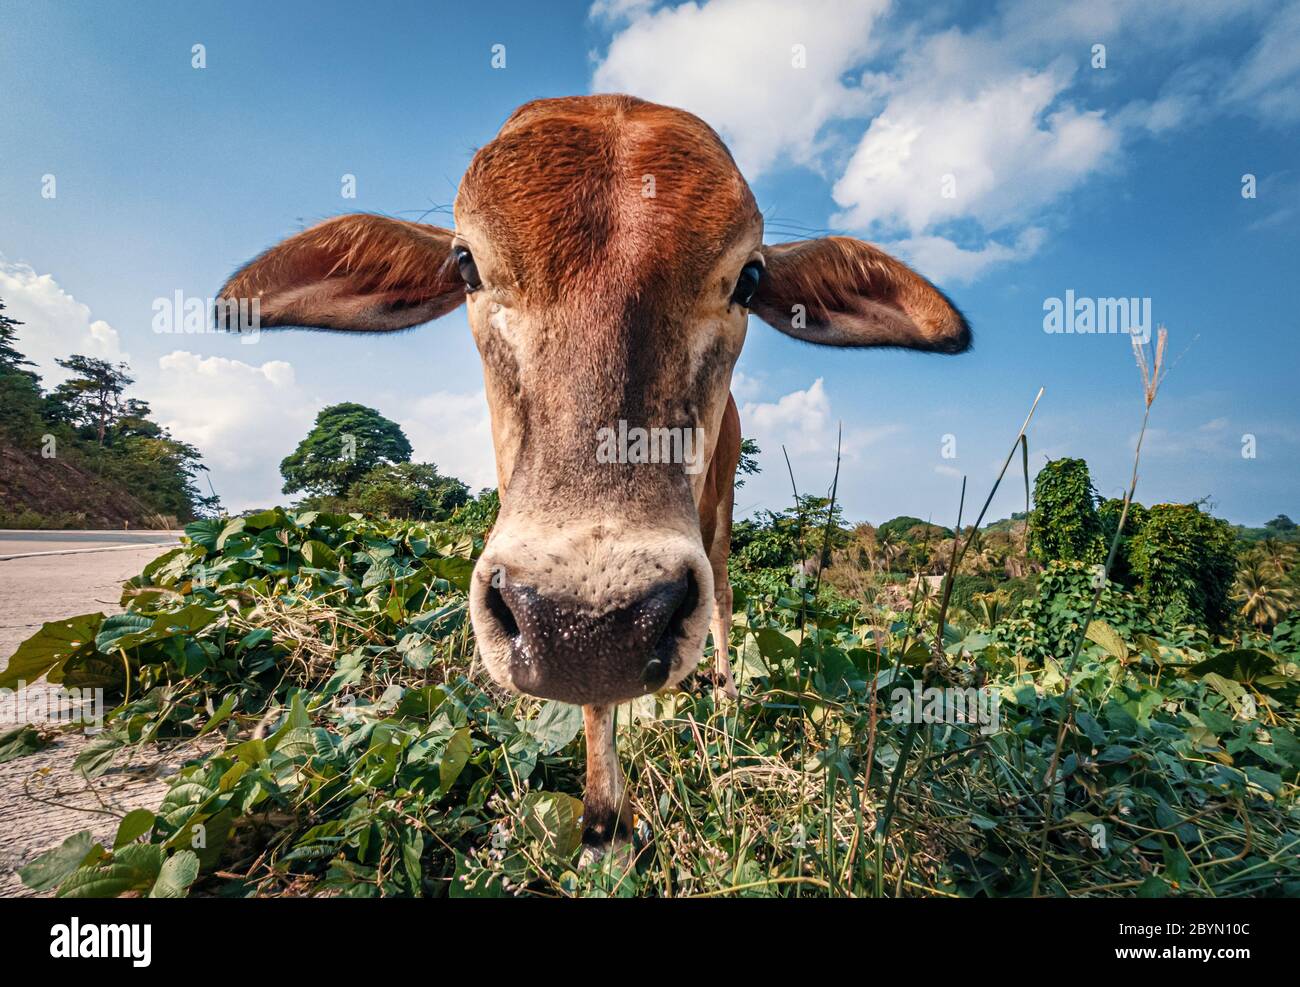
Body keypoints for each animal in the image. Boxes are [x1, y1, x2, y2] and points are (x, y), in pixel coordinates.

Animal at [217, 94, 970, 852]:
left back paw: (726, 704)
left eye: (749, 278)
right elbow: (591, 704)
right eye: (466, 264)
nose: (589, 626)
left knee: (725, 594)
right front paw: (604, 822)